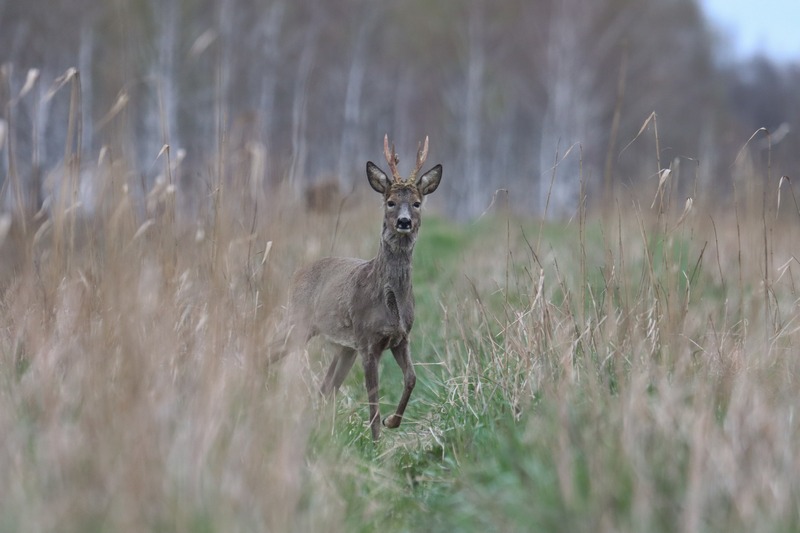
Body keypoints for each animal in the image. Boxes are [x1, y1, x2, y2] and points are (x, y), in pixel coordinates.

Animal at [272, 134, 440, 440]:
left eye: (417, 202)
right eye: (390, 201)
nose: (404, 222)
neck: (391, 303)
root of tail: (297, 272)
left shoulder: (401, 337)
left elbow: (411, 378)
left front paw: (392, 421)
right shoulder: (367, 340)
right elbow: (372, 394)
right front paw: (376, 439)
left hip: (343, 346)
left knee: (325, 388)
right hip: (298, 321)